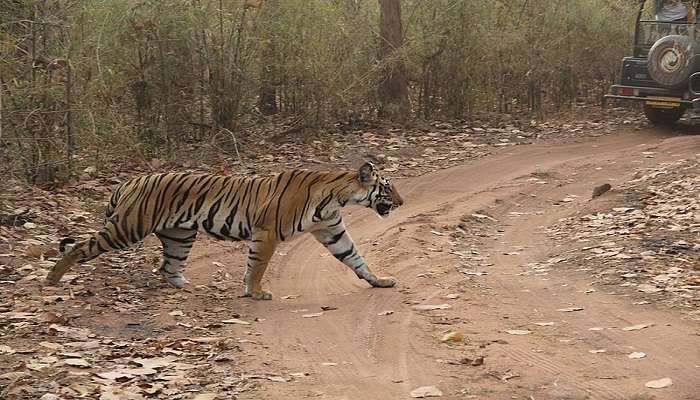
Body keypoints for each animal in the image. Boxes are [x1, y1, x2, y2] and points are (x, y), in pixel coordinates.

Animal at [45, 161, 404, 298]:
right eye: (388, 188)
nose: (402, 202)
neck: (337, 196)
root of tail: (130, 181)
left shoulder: (332, 231)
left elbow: (356, 259)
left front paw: (381, 281)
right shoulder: (266, 233)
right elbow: (257, 265)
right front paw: (255, 292)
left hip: (180, 235)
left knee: (167, 266)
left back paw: (182, 286)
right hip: (126, 228)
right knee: (78, 248)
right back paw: (52, 279)